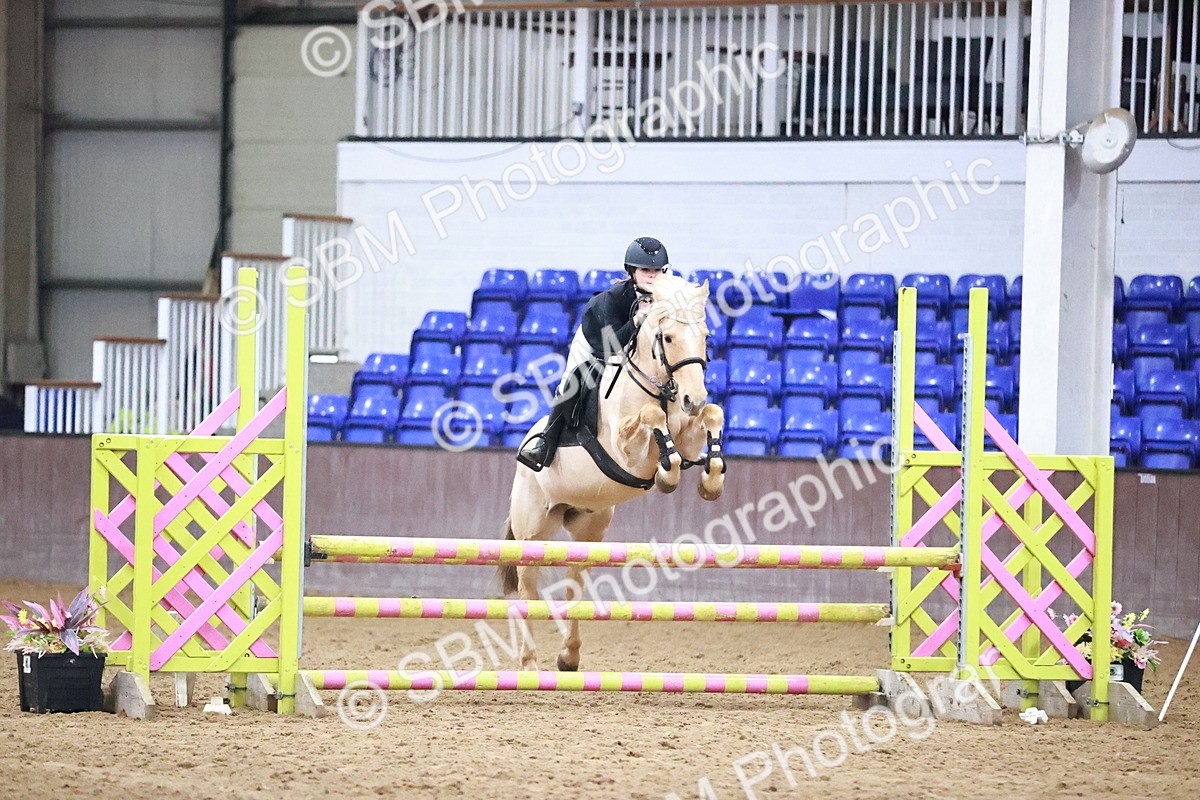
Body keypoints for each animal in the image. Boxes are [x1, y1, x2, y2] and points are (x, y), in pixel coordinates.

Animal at [500, 273, 726, 671]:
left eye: (705, 335)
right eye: (669, 338)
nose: (693, 398)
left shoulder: (688, 436)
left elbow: (712, 416)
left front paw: (711, 480)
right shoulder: (625, 452)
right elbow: (651, 420)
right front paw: (668, 476)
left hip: (589, 529)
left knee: (574, 583)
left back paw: (569, 655)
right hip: (533, 533)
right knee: (528, 590)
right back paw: (529, 665)